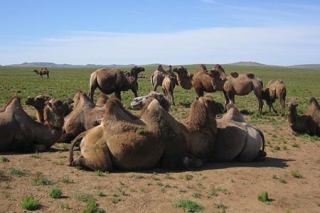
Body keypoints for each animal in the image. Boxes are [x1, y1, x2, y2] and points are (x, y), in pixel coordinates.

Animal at [69, 92, 222, 171]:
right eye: (211, 101)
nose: (221, 105)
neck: (190, 135)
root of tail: (85, 134)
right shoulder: (171, 156)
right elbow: (194, 162)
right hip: (96, 148)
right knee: (103, 165)